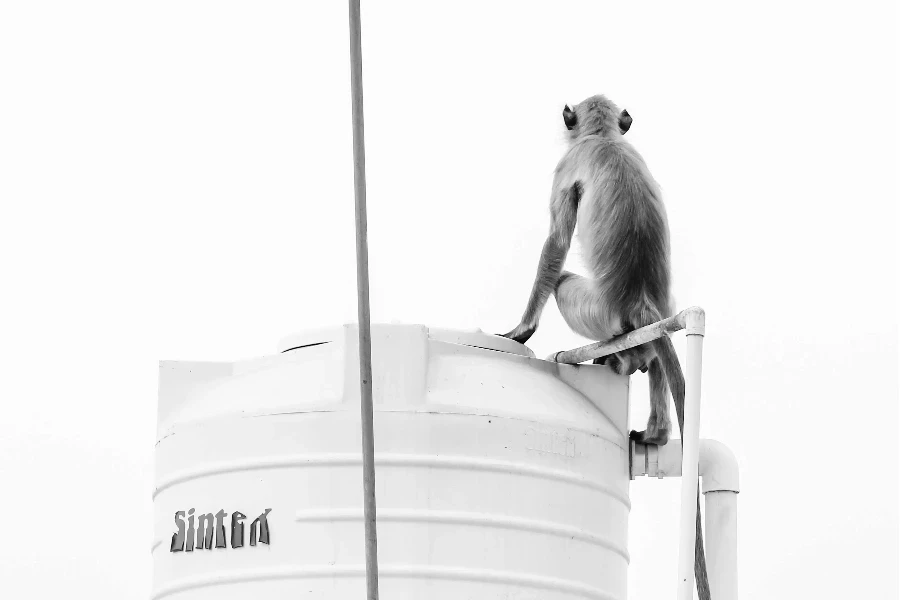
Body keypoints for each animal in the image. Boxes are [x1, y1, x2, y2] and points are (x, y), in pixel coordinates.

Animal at [500, 95, 712, 600]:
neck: (605, 138)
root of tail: (639, 300)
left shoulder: (566, 168)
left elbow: (556, 240)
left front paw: (522, 329)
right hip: (655, 312)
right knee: (658, 344)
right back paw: (654, 427)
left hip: (595, 309)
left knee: (562, 281)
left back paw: (622, 358)